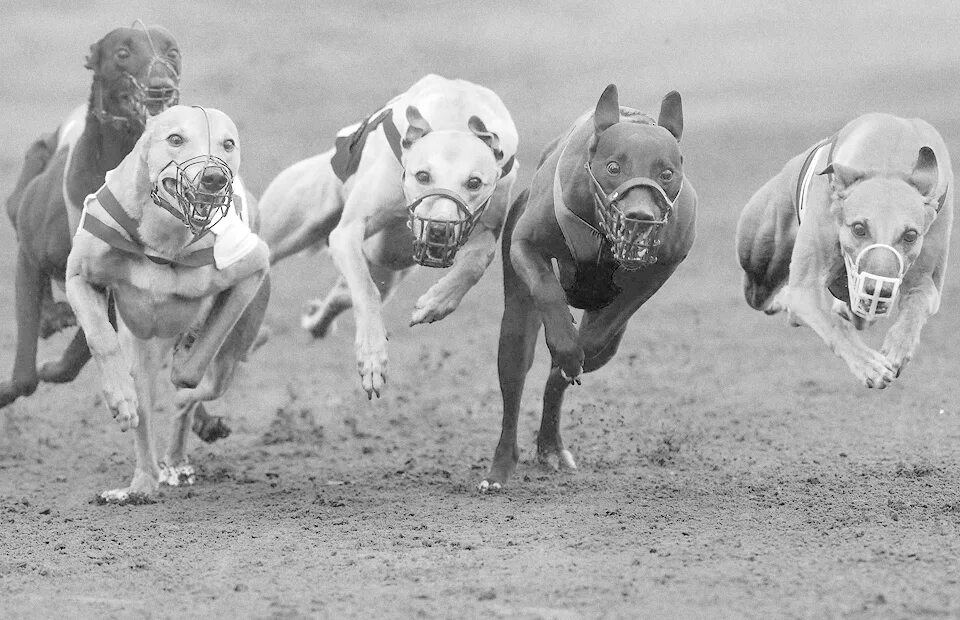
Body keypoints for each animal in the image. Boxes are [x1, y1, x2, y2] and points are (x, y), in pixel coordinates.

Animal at [66, 105, 270, 504]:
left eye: (228, 143)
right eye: (175, 138)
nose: (213, 178)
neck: (163, 242)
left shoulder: (252, 267)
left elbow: (192, 368)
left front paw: (186, 360)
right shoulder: (80, 278)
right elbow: (101, 338)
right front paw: (120, 399)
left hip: (233, 352)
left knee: (198, 389)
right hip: (143, 352)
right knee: (147, 411)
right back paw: (144, 481)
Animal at [258, 75, 520, 400]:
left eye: (474, 182)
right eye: (422, 176)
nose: (440, 229)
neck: (455, 115)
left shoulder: (487, 224)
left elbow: (478, 262)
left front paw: (436, 302)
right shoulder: (348, 232)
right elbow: (365, 290)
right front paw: (372, 357)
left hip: (389, 266)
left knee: (340, 297)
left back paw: (316, 320)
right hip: (295, 224)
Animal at [740, 112, 948, 388]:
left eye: (911, 235)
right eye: (859, 228)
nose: (879, 290)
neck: (889, 158)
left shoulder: (926, 283)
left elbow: (915, 306)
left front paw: (898, 348)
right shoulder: (805, 290)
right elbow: (832, 324)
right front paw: (869, 365)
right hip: (760, 273)